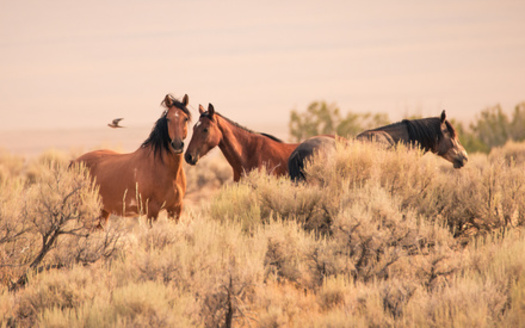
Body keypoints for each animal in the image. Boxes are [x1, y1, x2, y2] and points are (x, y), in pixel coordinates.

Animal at [71, 93, 190, 224]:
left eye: (185, 118)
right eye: (168, 119)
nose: (177, 145)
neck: (164, 169)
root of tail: (75, 161)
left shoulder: (175, 209)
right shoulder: (152, 210)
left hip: (103, 211)